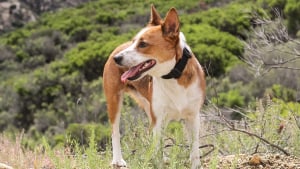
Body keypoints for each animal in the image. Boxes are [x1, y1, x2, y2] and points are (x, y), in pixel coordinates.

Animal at [103, 5, 206, 169]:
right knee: (115, 131)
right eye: (134, 41)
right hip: (114, 101)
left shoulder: (193, 117)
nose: (116, 59)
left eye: (143, 44)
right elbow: (158, 147)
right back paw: (118, 160)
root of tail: (118, 47)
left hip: (149, 108)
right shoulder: (159, 119)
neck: (173, 76)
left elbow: (194, 148)